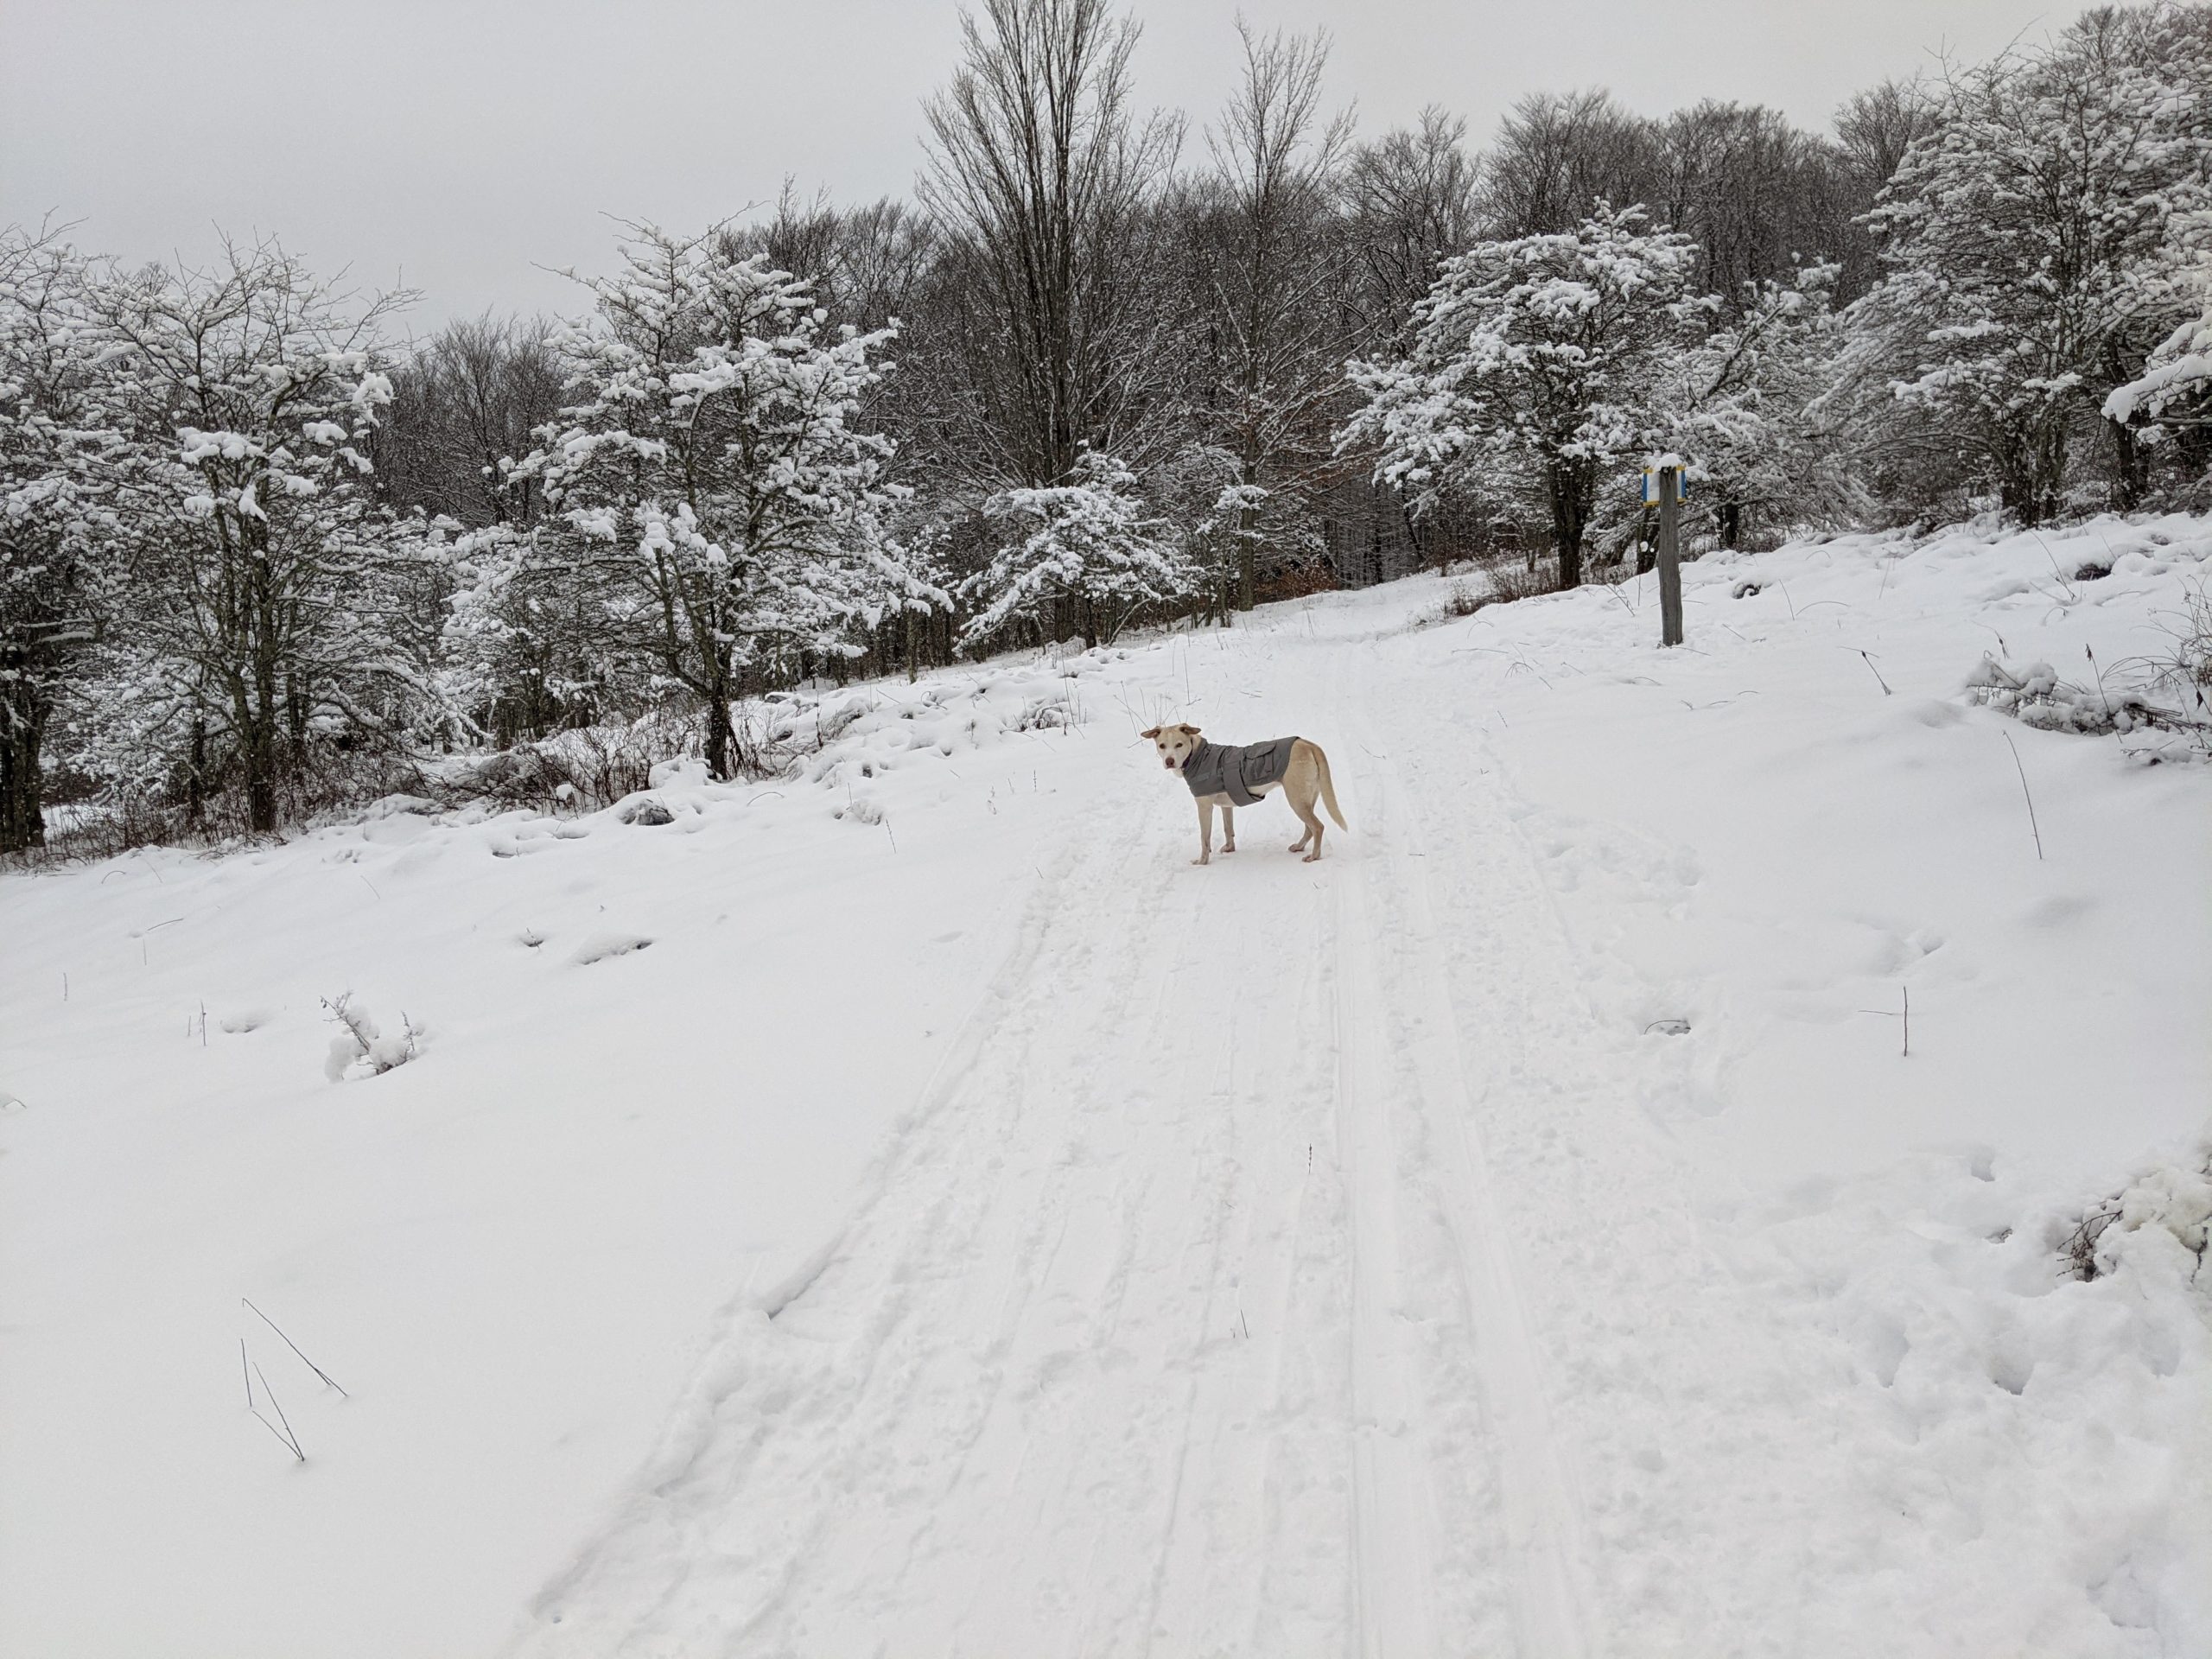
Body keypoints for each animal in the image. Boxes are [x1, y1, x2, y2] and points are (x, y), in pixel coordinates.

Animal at [1141, 721, 1344, 862]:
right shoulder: (1225, 806)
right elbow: (1228, 828)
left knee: (1318, 827)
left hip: (1297, 799)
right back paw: (1299, 847)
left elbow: (1204, 838)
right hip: (1306, 799)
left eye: (1179, 745)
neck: (1197, 756)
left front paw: (1202, 861)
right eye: (1162, 746)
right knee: (1309, 828)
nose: (1169, 761)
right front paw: (1229, 848)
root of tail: (1308, 744)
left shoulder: (1204, 807)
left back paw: (1314, 856)